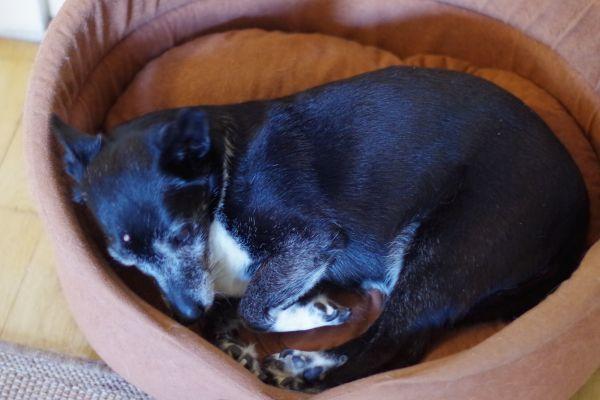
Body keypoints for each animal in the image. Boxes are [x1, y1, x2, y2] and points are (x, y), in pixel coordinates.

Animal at [52, 66, 589, 390]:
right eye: (125, 262)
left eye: (182, 235)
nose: (184, 315)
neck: (219, 179)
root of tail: (580, 213)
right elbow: (232, 312)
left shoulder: (311, 241)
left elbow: (253, 306)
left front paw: (307, 315)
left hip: (445, 251)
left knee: (390, 349)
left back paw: (310, 370)